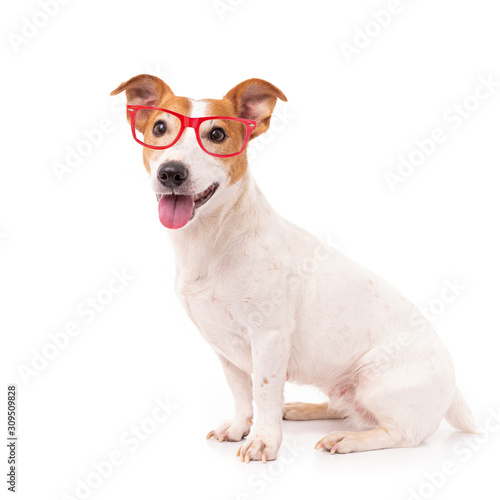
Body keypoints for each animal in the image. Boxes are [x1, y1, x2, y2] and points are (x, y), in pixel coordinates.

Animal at [110, 73, 476, 460]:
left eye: (217, 134)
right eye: (159, 127)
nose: (171, 172)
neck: (211, 242)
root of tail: (455, 388)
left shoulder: (269, 338)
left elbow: (264, 392)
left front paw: (263, 440)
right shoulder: (223, 347)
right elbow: (241, 393)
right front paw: (239, 427)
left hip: (375, 380)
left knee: (398, 433)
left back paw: (347, 440)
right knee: (343, 408)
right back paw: (303, 409)